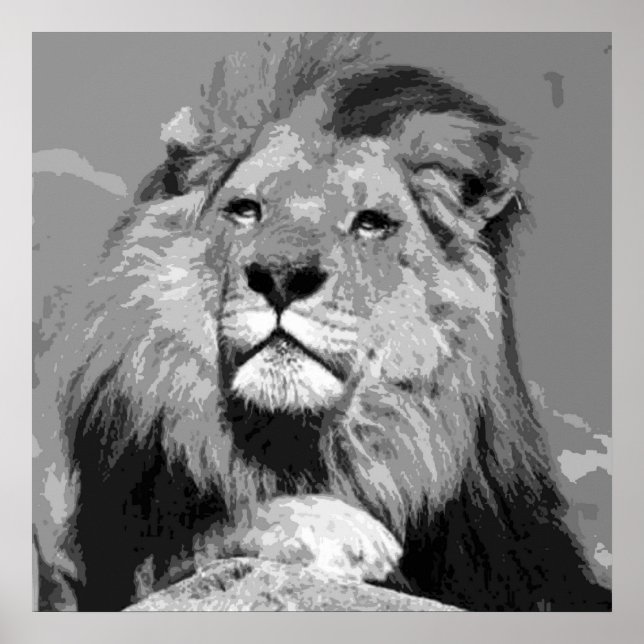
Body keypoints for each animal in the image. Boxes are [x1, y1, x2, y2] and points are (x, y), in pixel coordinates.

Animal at [33, 33, 611, 611]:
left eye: (372, 223)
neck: (301, 443)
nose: (282, 277)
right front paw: (332, 527)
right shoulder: (119, 566)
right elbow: (213, 533)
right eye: (246, 210)